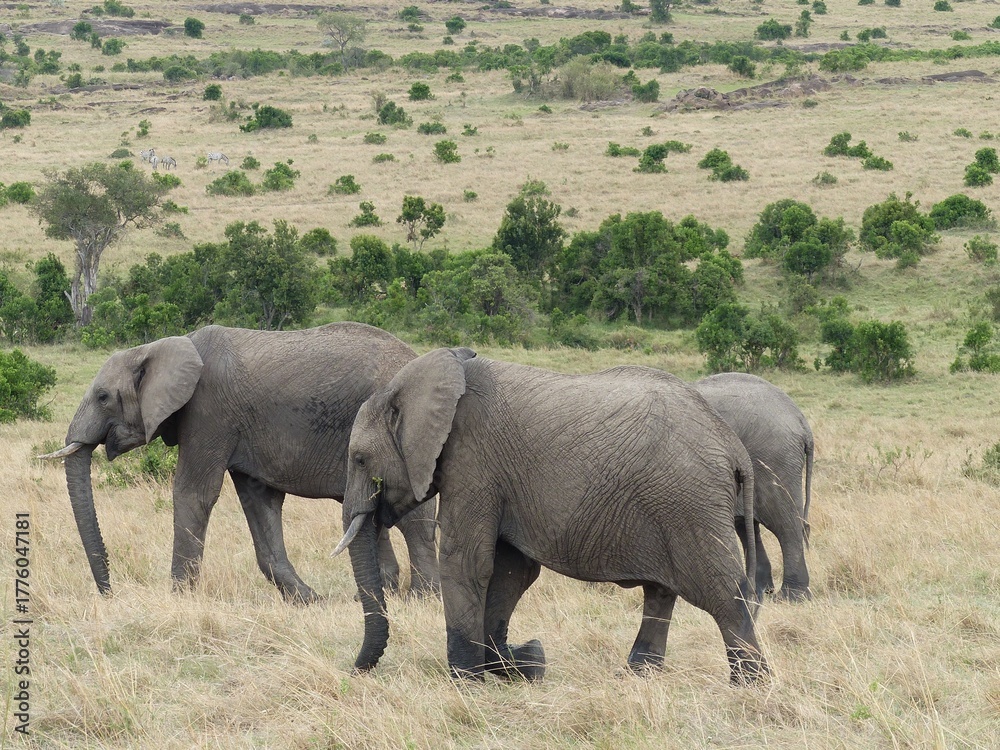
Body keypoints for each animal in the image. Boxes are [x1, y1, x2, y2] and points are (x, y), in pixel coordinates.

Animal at [41, 322, 439, 603]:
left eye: (103, 397)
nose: (109, 593)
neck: (161, 346)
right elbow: (260, 502)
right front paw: (309, 600)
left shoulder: (208, 412)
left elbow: (194, 493)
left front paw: (179, 598)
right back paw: (376, 595)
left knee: (415, 517)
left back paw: (420, 598)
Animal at [333, 347, 770, 686]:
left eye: (360, 459)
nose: (353, 671)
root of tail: (735, 449)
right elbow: (512, 571)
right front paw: (522, 662)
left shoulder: (473, 462)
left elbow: (466, 562)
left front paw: (465, 681)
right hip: (674, 505)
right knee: (661, 591)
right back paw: (635, 676)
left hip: (689, 504)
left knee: (721, 591)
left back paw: (749, 686)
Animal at [694, 372, 815, 602]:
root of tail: (801, 421)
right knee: (748, 524)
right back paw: (760, 591)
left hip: (773, 458)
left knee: (785, 523)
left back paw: (790, 597)